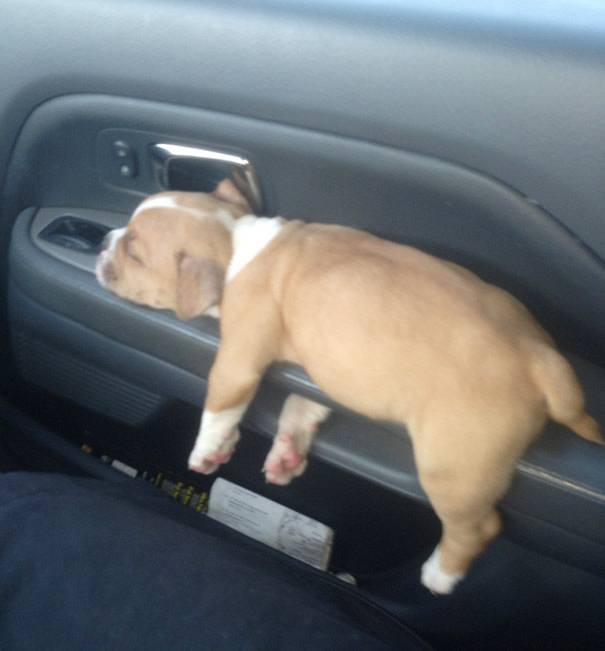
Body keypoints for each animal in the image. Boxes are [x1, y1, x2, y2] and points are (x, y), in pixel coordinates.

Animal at [95, 180, 600, 596]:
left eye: (134, 253)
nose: (103, 240)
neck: (235, 242)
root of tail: (539, 357)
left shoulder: (237, 360)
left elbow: (220, 406)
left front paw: (208, 450)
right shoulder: (320, 364)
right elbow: (301, 407)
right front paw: (287, 453)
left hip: (454, 467)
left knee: (479, 527)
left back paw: (442, 573)